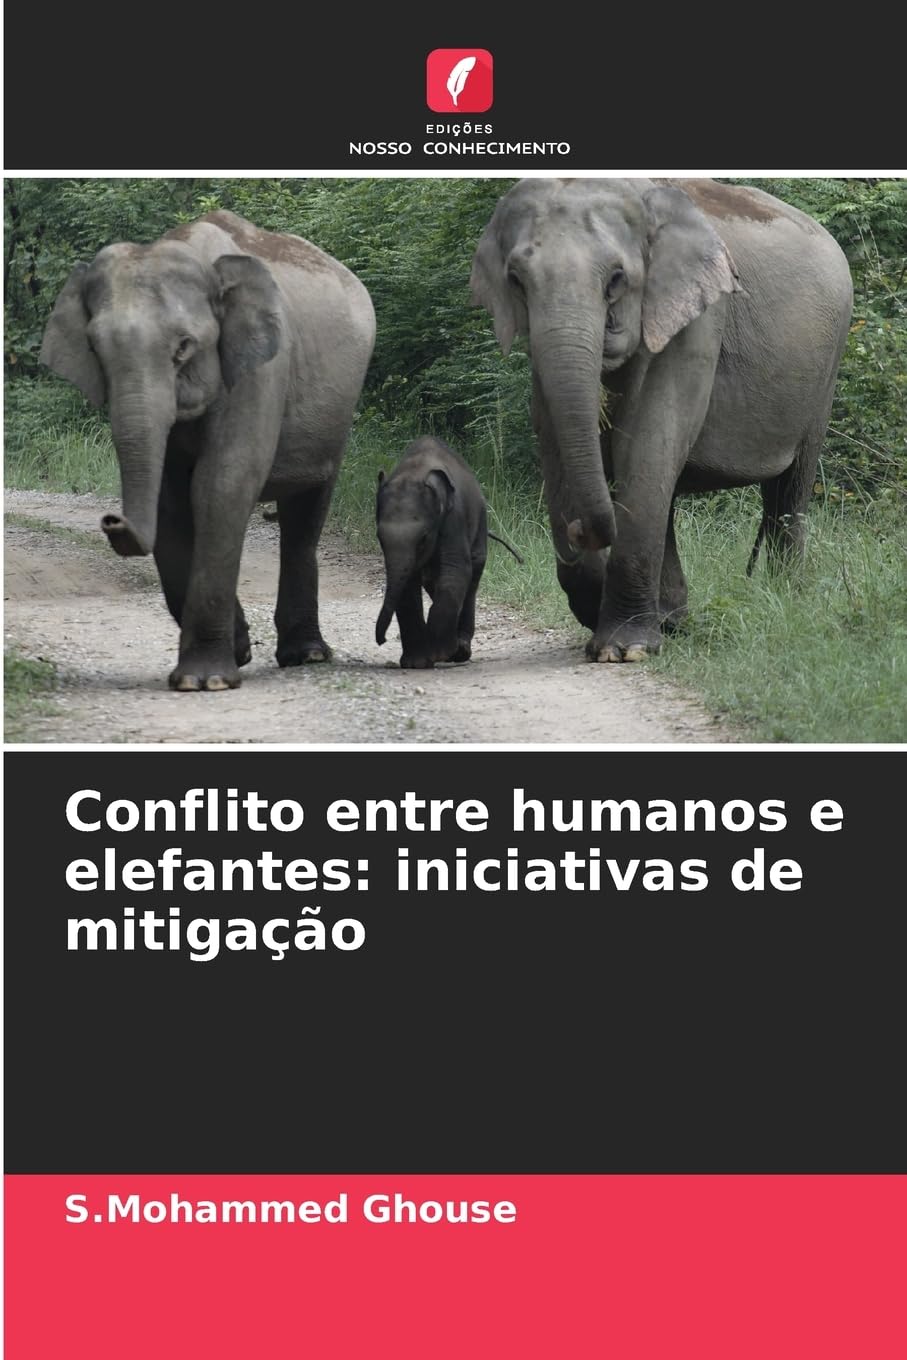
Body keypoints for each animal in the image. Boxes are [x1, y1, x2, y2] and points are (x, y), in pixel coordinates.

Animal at [40, 209, 376, 690]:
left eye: (184, 347)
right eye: (96, 351)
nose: (111, 520)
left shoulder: (261, 368)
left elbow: (221, 484)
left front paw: (207, 681)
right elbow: (171, 503)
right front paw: (233, 654)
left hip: (337, 413)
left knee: (305, 515)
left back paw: (307, 656)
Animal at [374, 436, 521, 669]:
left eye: (423, 538)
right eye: (379, 537)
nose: (382, 640)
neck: (414, 471)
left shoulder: (454, 517)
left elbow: (455, 570)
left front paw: (439, 653)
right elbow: (407, 585)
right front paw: (417, 663)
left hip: (480, 526)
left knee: (471, 576)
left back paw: (460, 651)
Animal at [470, 179, 853, 661]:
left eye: (617, 279)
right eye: (517, 280)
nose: (578, 530)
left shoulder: (699, 319)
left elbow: (649, 440)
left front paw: (623, 649)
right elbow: (553, 437)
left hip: (825, 373)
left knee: (789, 488)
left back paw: (785, 597)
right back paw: (673, 621)